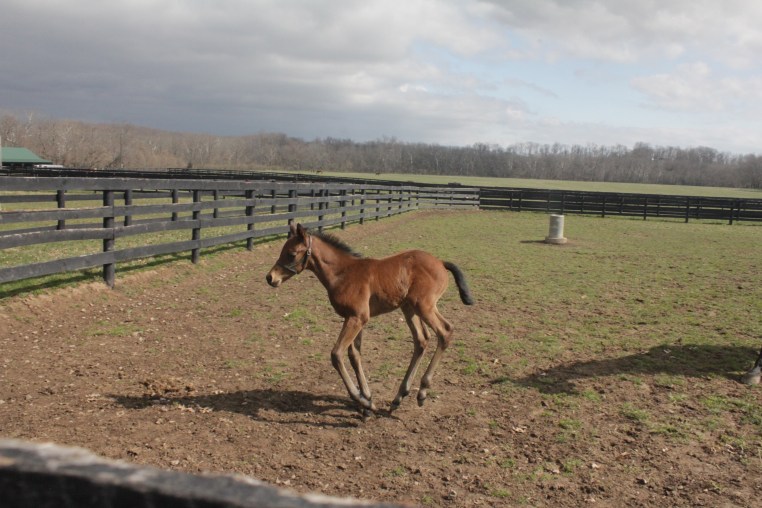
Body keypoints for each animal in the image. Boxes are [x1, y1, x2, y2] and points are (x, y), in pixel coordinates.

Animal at [266, 223, 474, 416]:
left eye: (291, 254)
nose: (270, 277)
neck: (343, 273)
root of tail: (440, 262)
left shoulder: (357, 318)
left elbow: (337, 354)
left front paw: (363, 401)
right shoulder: (352, 318)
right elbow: (354, 355)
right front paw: (367, 398)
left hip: (424, 306)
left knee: (445, 331)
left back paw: (422, 392)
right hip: (409, 308)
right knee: (421, 340)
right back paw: (399, 397)